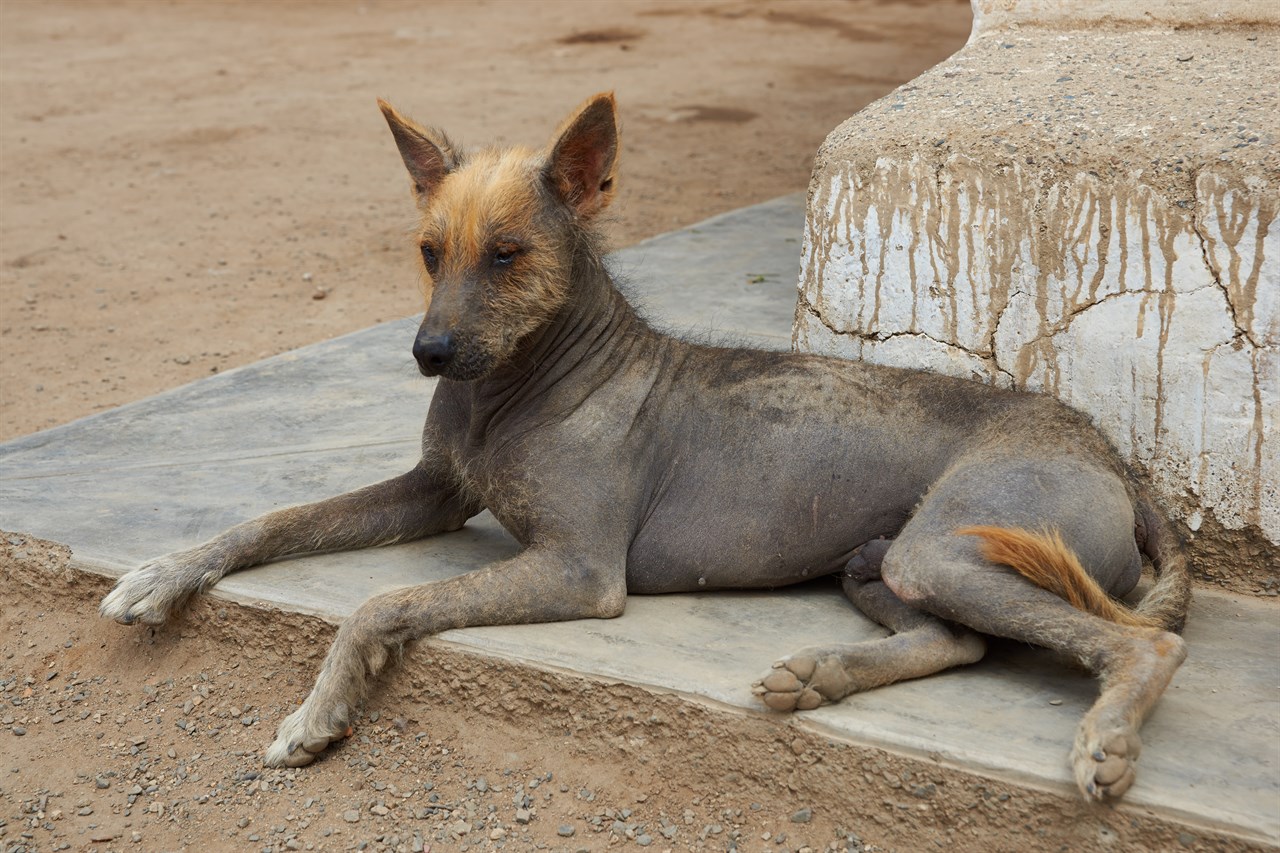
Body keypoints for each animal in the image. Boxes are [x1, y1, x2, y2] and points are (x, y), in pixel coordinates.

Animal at [99, 92, 1187, 799]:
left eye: (508, 254)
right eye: (427, 253)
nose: (428, 352)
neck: (511, 389)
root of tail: (1114, 458)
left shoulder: (577, 572)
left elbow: (380, 604)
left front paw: (316, 713)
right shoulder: (429, 490)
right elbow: (275, 518)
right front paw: (164, 570)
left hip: (950, 547)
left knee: (1146, 643)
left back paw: (1104, 740)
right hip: (885, 561)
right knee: (956, 640)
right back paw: (816, 675)